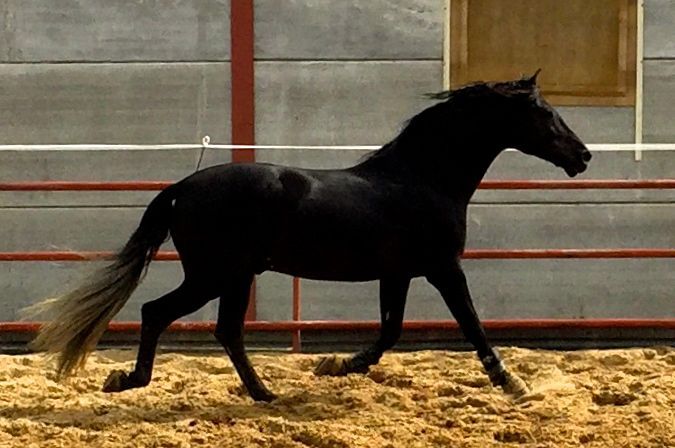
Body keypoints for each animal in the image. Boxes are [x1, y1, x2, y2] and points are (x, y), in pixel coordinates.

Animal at [27, 71, 591, 402]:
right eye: (544, 113)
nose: (583, 156)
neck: (423, 178)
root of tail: (181, 188)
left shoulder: (398, 274)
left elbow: (390, 332)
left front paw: (335, 364)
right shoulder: (443, 268)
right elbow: (471, 325)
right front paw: (513, 383)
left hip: (232, 277)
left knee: (224, 330)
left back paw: (262, 393)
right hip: (215, 275)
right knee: (159, 313)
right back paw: (135, 380)